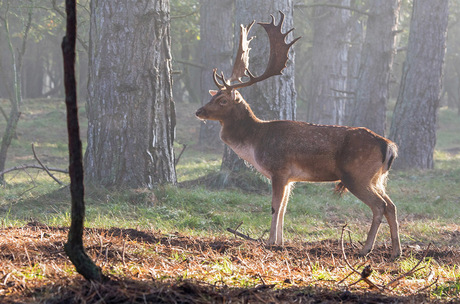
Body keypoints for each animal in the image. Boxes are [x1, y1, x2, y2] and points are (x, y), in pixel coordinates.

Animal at [196, 11, 400, 258]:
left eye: (223, 100)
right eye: (213, 96)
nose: (199, 111)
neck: (255, 142)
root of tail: (389, 145)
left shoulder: (279, 169)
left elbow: (275, 207)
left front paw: (270, 242)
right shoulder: (290, 178)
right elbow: (284, 208)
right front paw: (281, 241)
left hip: (357, 175)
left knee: (380, 205)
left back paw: (365, 249)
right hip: (377, 177)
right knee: (392, 205)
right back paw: (396, 251)